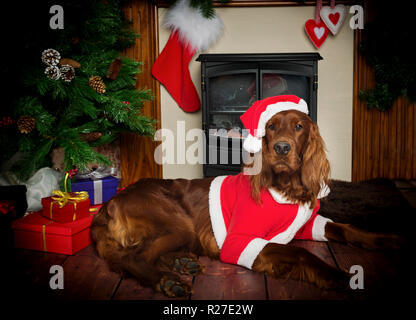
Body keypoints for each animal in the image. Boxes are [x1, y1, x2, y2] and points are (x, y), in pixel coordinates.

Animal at [92, 109, 404, 298]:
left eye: (299, 126)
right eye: (271, 127)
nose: (281, 148)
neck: (285, 189)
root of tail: (111, 202)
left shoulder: (306, 224)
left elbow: (347, 228)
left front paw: (386, 239)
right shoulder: (241, 241)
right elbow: (300, 253)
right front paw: (338, 275)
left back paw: (182, 262)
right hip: (176, 222)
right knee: (133, 257)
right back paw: (167, 279)